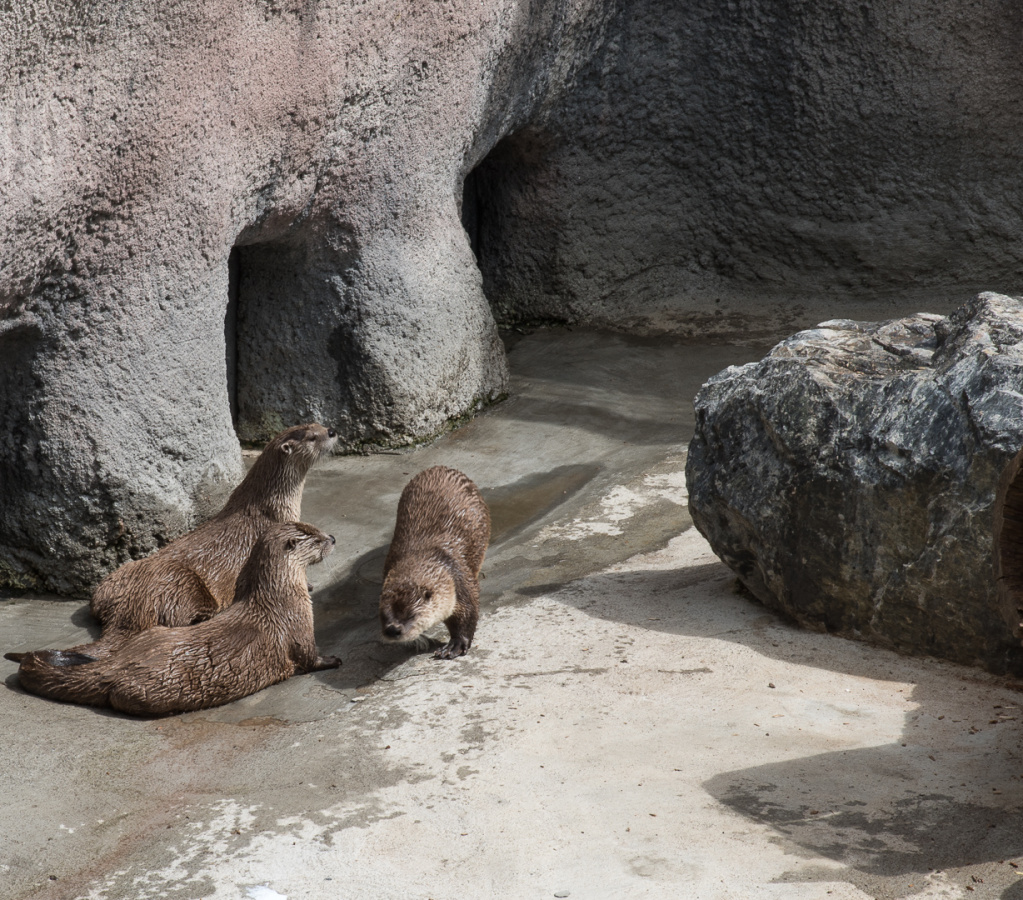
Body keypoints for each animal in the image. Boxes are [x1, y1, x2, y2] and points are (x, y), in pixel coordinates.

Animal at [5, 523, 341, 715]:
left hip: (153, 632)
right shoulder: (298, 626)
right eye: (315, 538)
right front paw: (334, 660)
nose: (334, 537)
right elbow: (309, 658)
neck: (279, 594)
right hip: (148, 690)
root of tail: (117, 665)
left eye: (316, 528)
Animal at [89, 423, 337, 644]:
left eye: (318, 424)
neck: (272, 506)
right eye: (312, 437)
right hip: (181, 583)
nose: (332, 431)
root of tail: (129, 606)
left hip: (109, 584)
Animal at [379, 466, 490, 659]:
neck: (422, 554)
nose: (392, 630)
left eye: (411, 615)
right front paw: (419, 641)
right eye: (383, 615)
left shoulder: (459, 578)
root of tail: (441, 468)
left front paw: (456, 644)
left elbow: (468, 612)